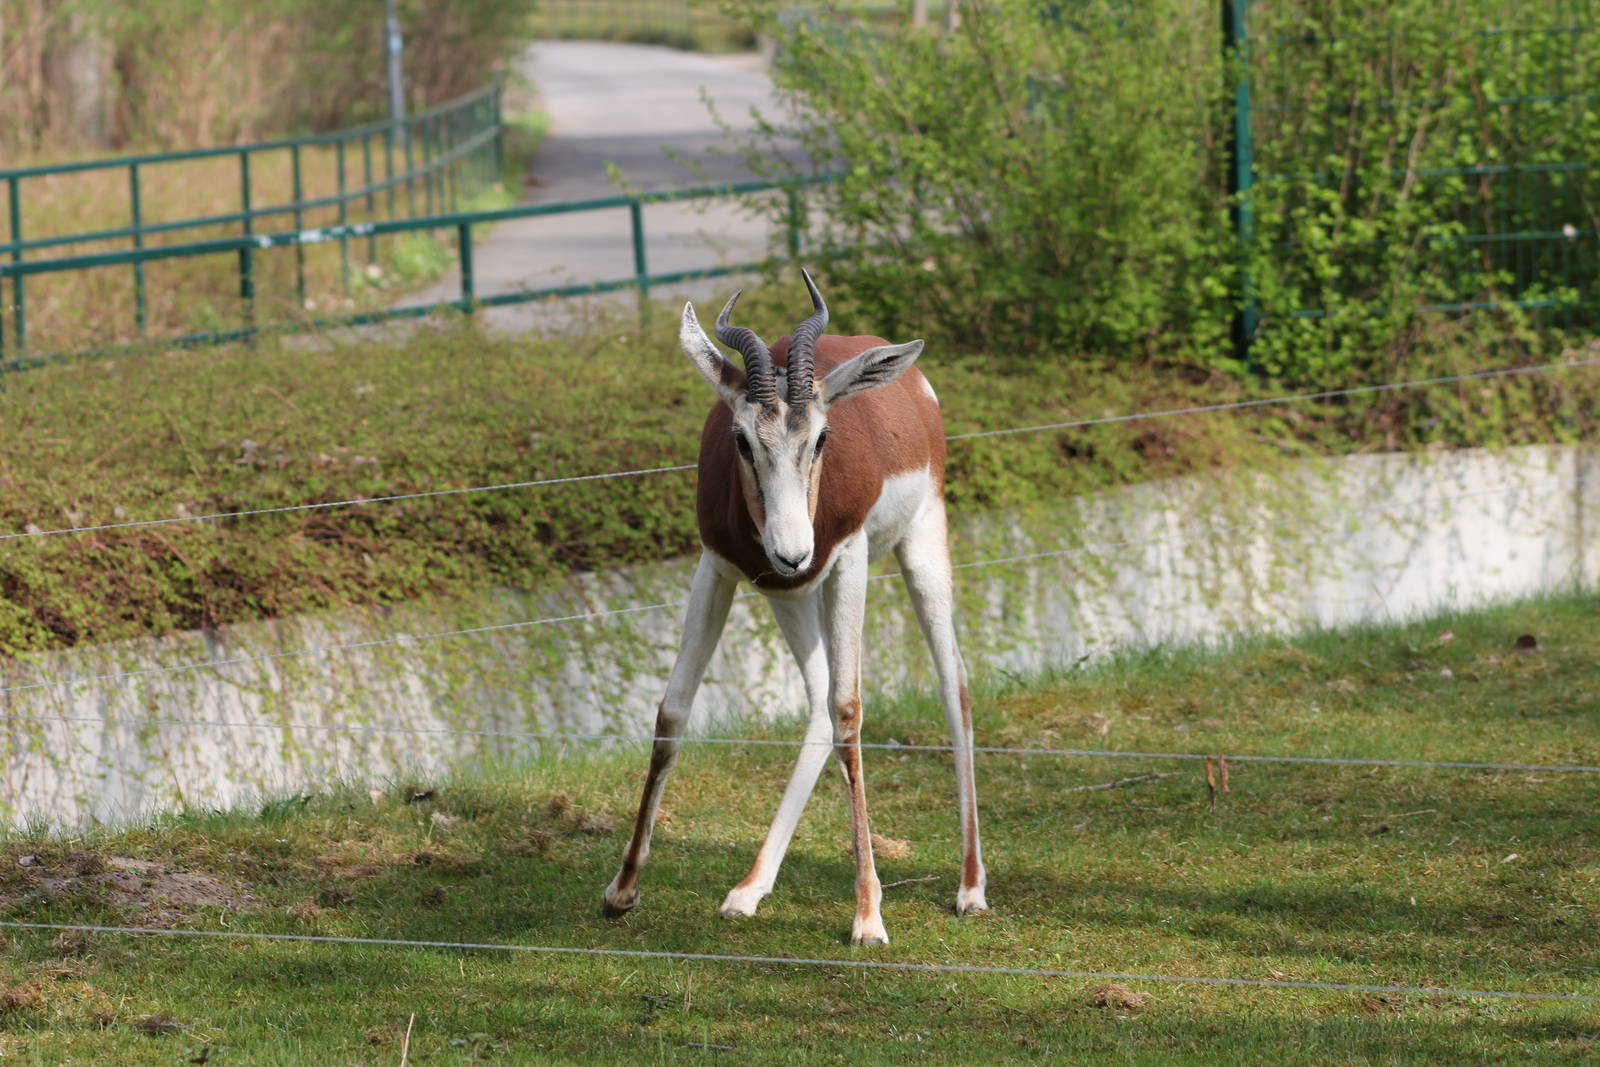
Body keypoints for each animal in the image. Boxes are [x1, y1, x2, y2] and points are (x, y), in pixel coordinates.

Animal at [601, 271, 986, 946]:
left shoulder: (850, 560)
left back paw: (970, 889)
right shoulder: (717, 569)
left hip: (917, 547)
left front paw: (868, 919)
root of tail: (911, 379)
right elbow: (673, 712)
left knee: (952, 684)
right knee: (815, 706)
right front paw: (622, 891)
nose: (792, 550)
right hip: (794, 598)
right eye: (742, 440)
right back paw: (749, 888)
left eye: (822, 437)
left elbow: (851, 711)